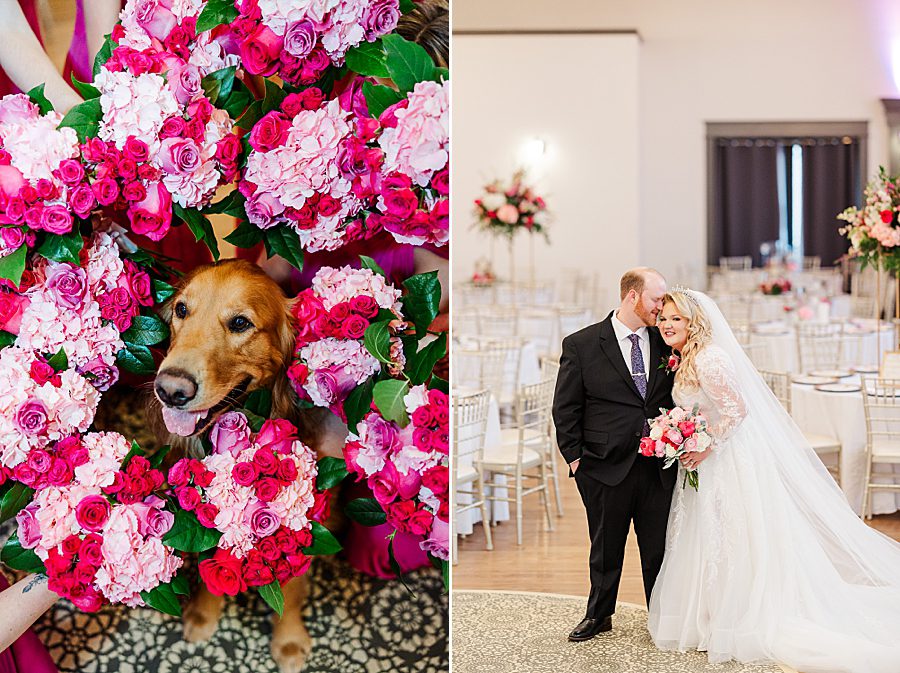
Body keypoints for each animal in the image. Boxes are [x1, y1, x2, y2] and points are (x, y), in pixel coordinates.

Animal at [151, 260, 344, 672]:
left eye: (240, 323)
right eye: (181, 310)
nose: (170, 390)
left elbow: (292, 583)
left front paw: (288, 639)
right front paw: (204, 613)